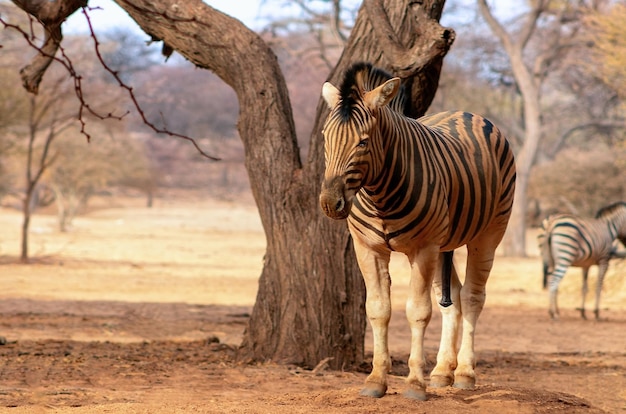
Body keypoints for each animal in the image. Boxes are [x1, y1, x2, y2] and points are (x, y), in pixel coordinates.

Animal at [320, 64, 516, 402]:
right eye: (324, 139)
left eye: (362, 142)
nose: (331, 203)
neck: (380, 194)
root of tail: (467, 113)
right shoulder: (368, 248)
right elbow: (378, 309)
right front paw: (376, 380)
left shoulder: (423, 249)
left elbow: (418, 312)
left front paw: (414, 384)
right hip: (443, 245)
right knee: (453, 299)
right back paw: (441, 373)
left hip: (488, 234)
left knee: (472, 297)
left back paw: (464, 374)